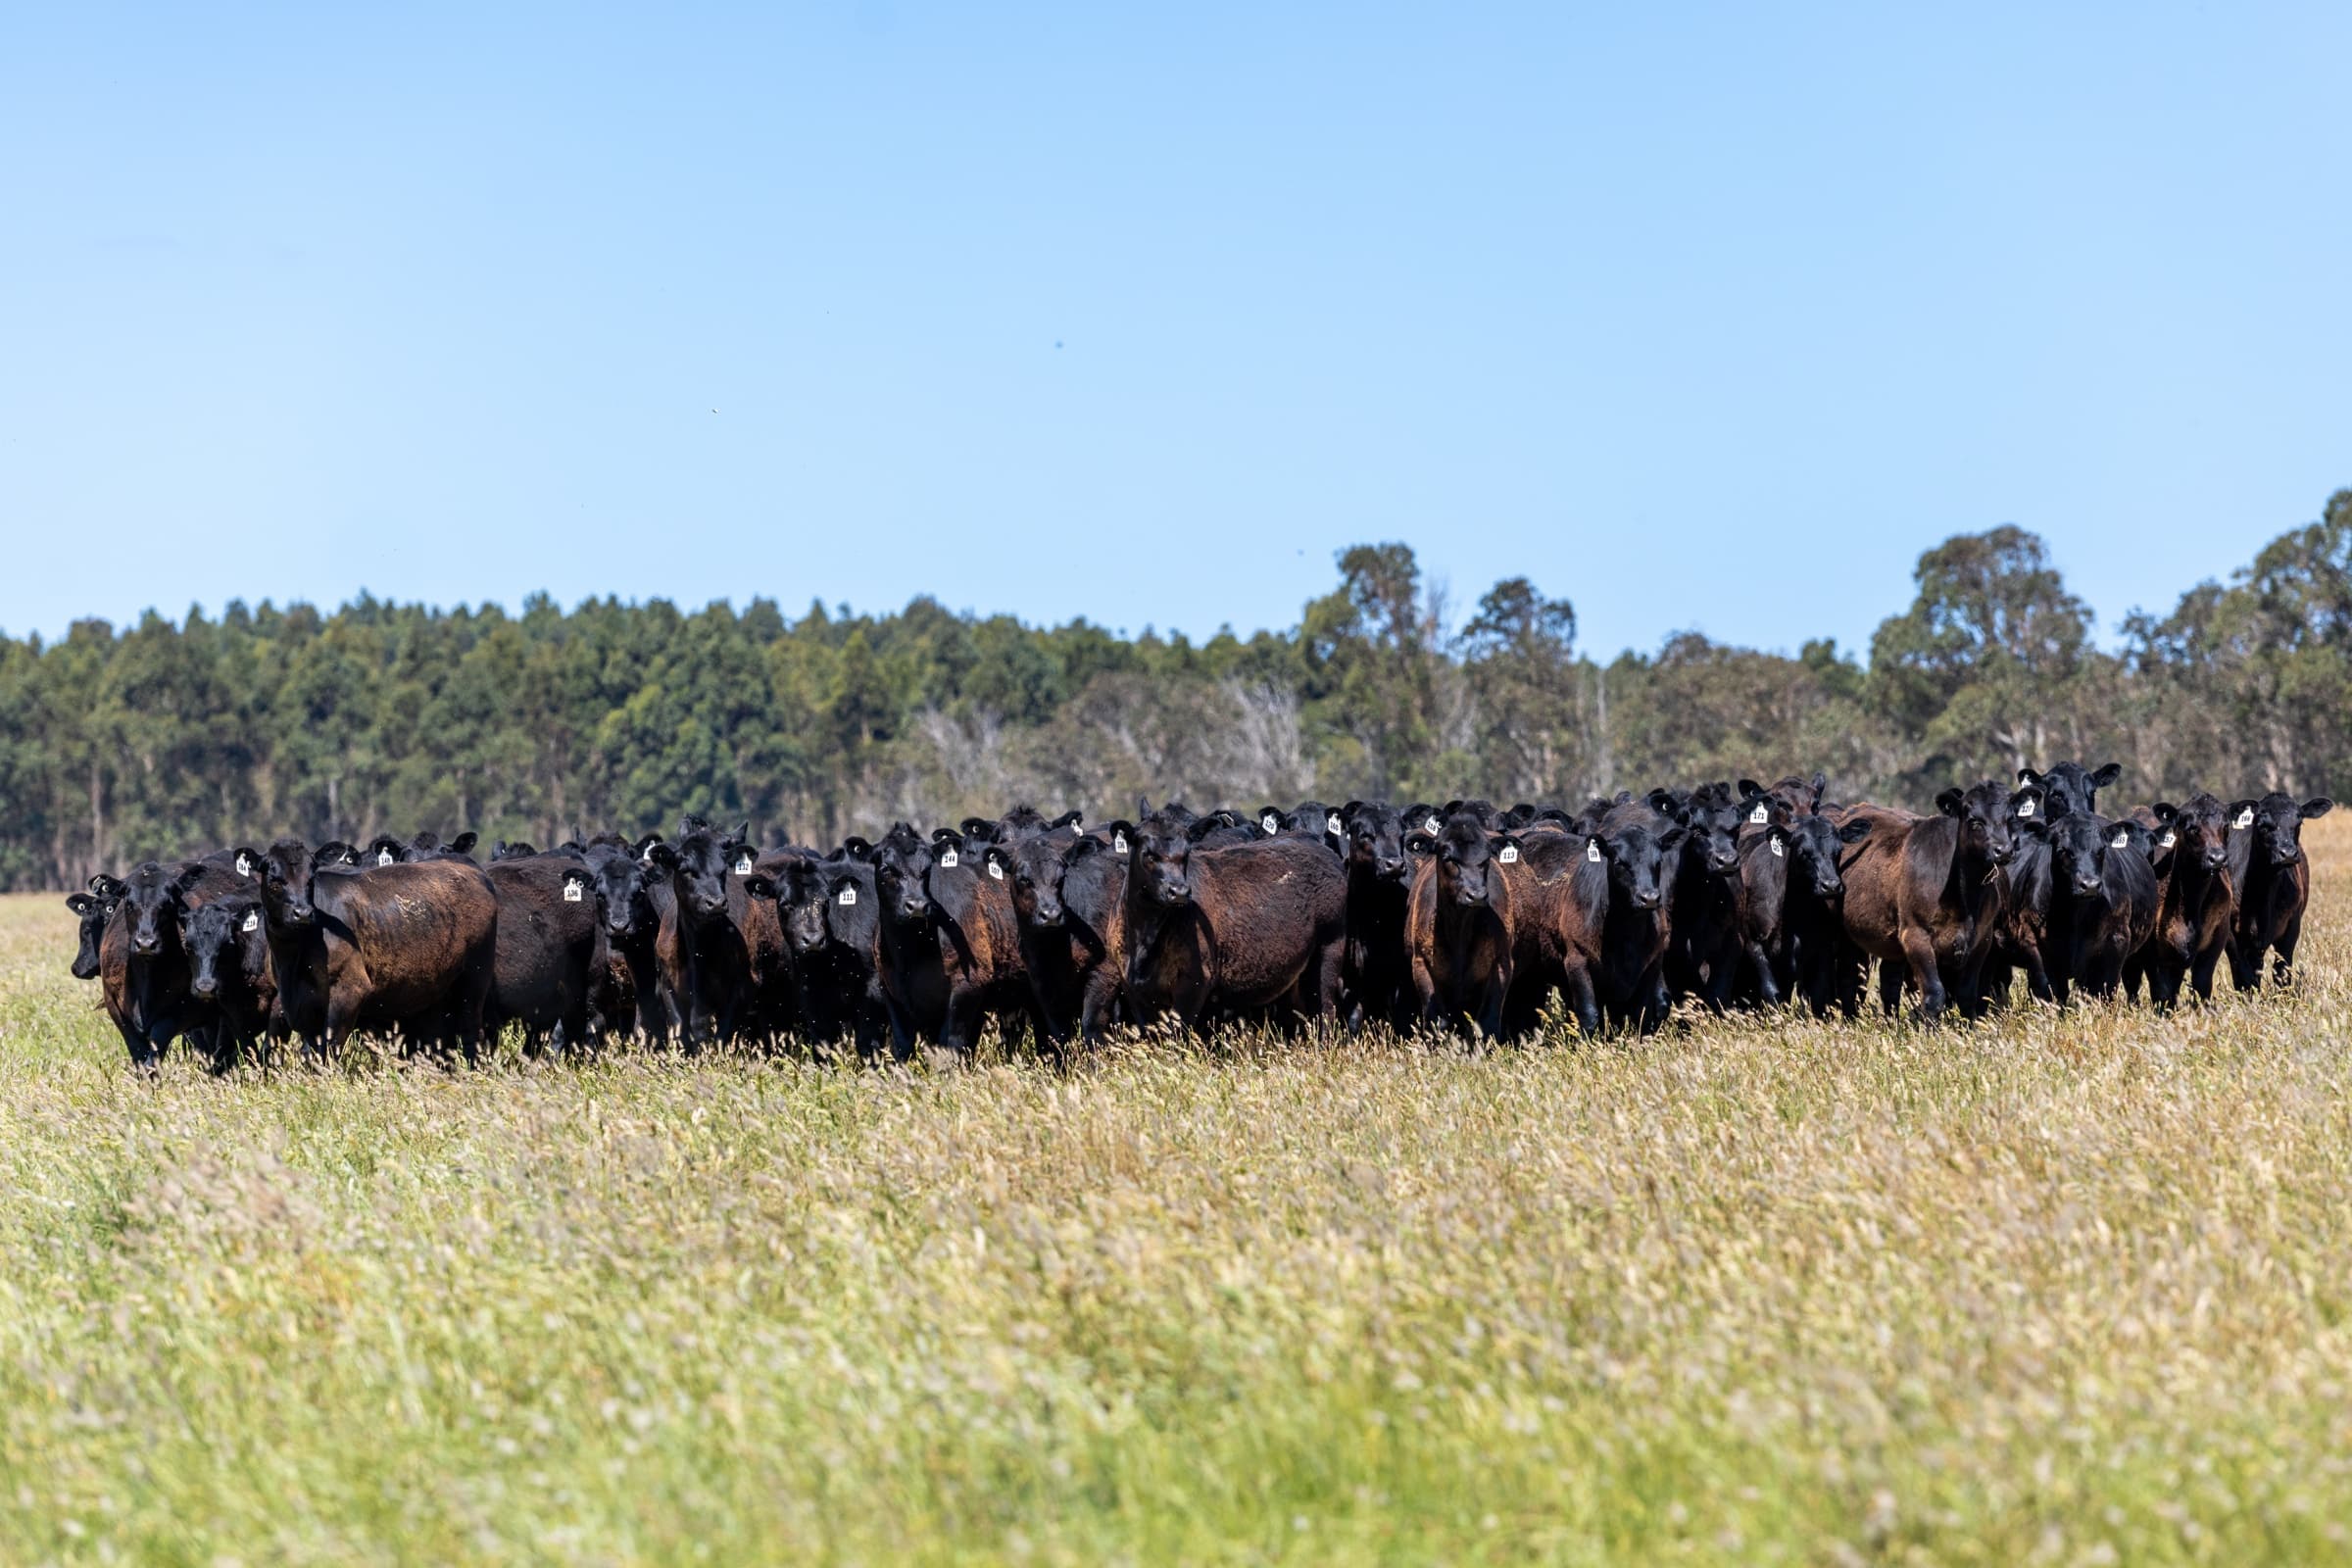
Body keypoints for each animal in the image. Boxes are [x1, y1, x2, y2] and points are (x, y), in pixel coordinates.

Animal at [2227, 793, 2331, 990]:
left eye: (2299, 823)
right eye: (2263, 824)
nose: (2288, 854)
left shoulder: (2292, 926)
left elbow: (2282, 973)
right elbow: (2244, 977)